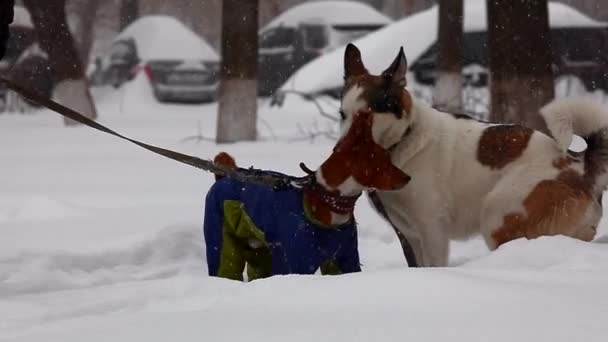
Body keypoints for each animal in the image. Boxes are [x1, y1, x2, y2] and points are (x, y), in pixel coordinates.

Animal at [203, 111, 408, 282]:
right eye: (384, 160)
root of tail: (224, 176)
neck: (327, 203)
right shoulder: (294, 262)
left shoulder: (344, 259)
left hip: (260, 252)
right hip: (221, 241)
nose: (408, 177)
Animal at [340, 43, 604, 268]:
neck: (406, 137)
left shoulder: (432, 228)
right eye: (343, 114)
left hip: (498, 216)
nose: (340, 149)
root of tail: (578, 164)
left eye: (366, 117)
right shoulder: (409, 233)